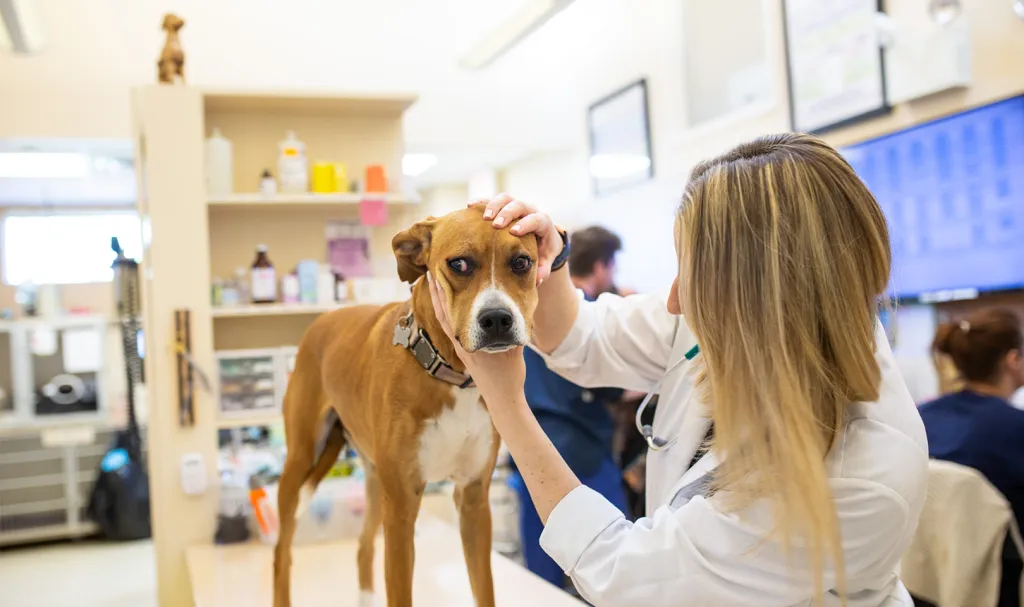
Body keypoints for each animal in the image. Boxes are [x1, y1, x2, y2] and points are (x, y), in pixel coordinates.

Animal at [276, 204, 540, 605]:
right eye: (459, 264)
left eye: (522, 262)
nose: (497, 319)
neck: (451, 374)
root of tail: (324, 318)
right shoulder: (402, 507)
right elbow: (400, 591)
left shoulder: (473, 500)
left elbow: (484, 589)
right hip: (301, 461)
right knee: (282, 553)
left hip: (374, 481)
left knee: (363, 547)